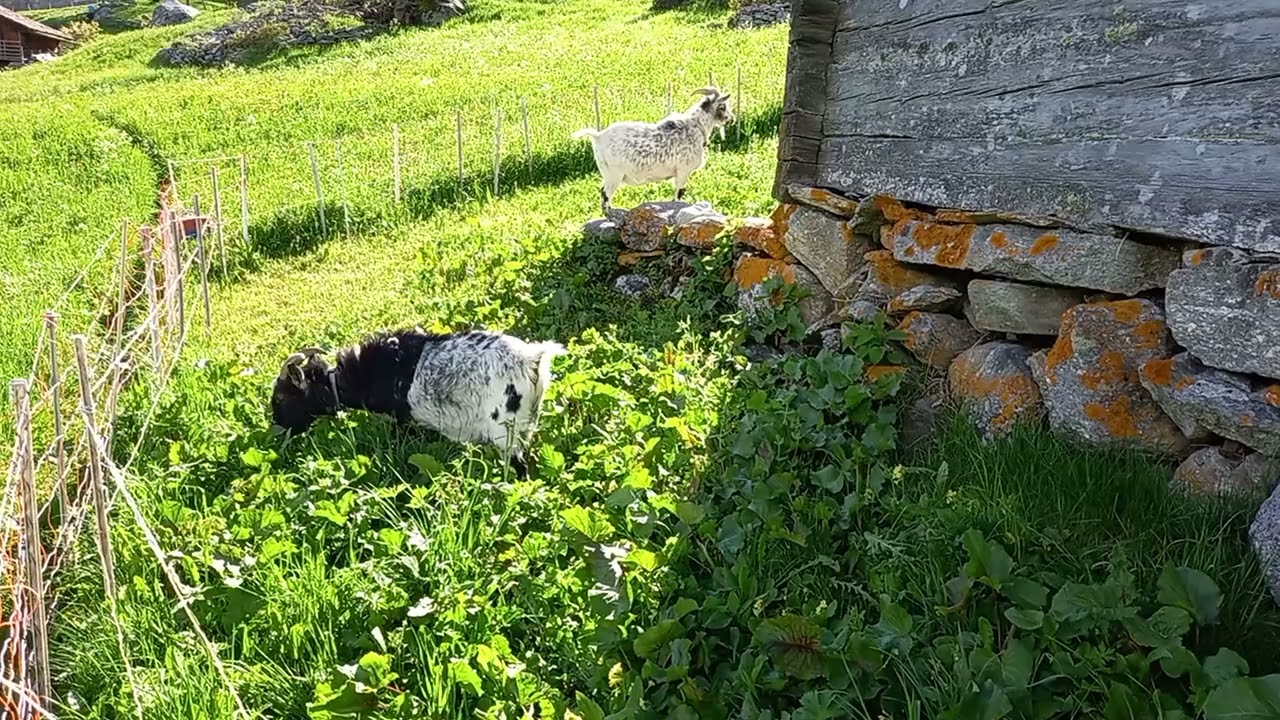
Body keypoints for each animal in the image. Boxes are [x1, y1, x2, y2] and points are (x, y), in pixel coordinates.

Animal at [270, 328, 565, 479]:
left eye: (281, 396)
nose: (277, 428)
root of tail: (532, 360)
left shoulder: (403, 421)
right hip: (526, 425)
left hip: (506, 430)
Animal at [572, 87, 734, 215]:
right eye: (722, 106)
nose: (731, 119)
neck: (696, 127)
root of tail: (598, 136)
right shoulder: (683, 171)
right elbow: (678, 194)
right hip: (614, 174)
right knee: (605, 194)